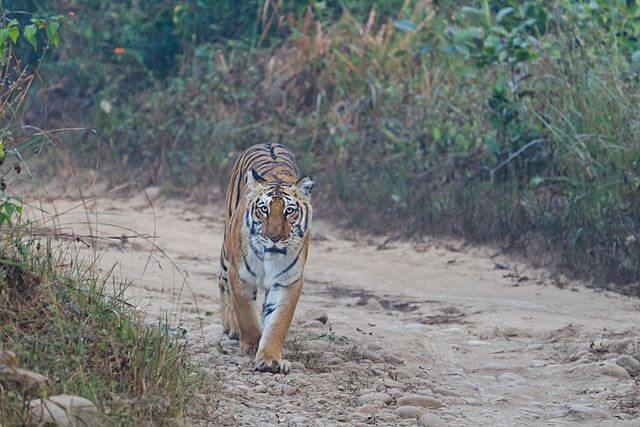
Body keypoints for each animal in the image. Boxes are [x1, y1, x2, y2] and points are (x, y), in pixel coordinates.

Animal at [216, 141, 314, 374]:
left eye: (289, 211)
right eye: (264, 209)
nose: (274, 237)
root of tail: (268, 142)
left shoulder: (288, 281)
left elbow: (278, 321)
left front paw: (270, 359)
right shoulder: (240, 276)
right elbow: (246, 315)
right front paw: (252, 345)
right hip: (226, 253)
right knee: (223, 283)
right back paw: (231, 327)